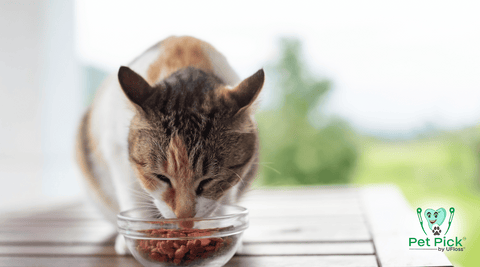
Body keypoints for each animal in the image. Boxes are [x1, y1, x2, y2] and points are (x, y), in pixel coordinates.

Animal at [75, 36, 264, 255]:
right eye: (161, 177)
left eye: (208, 180)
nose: (185, 220)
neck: (184, 57)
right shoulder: (116, 150)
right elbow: (132, 197)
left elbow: (222, 199)